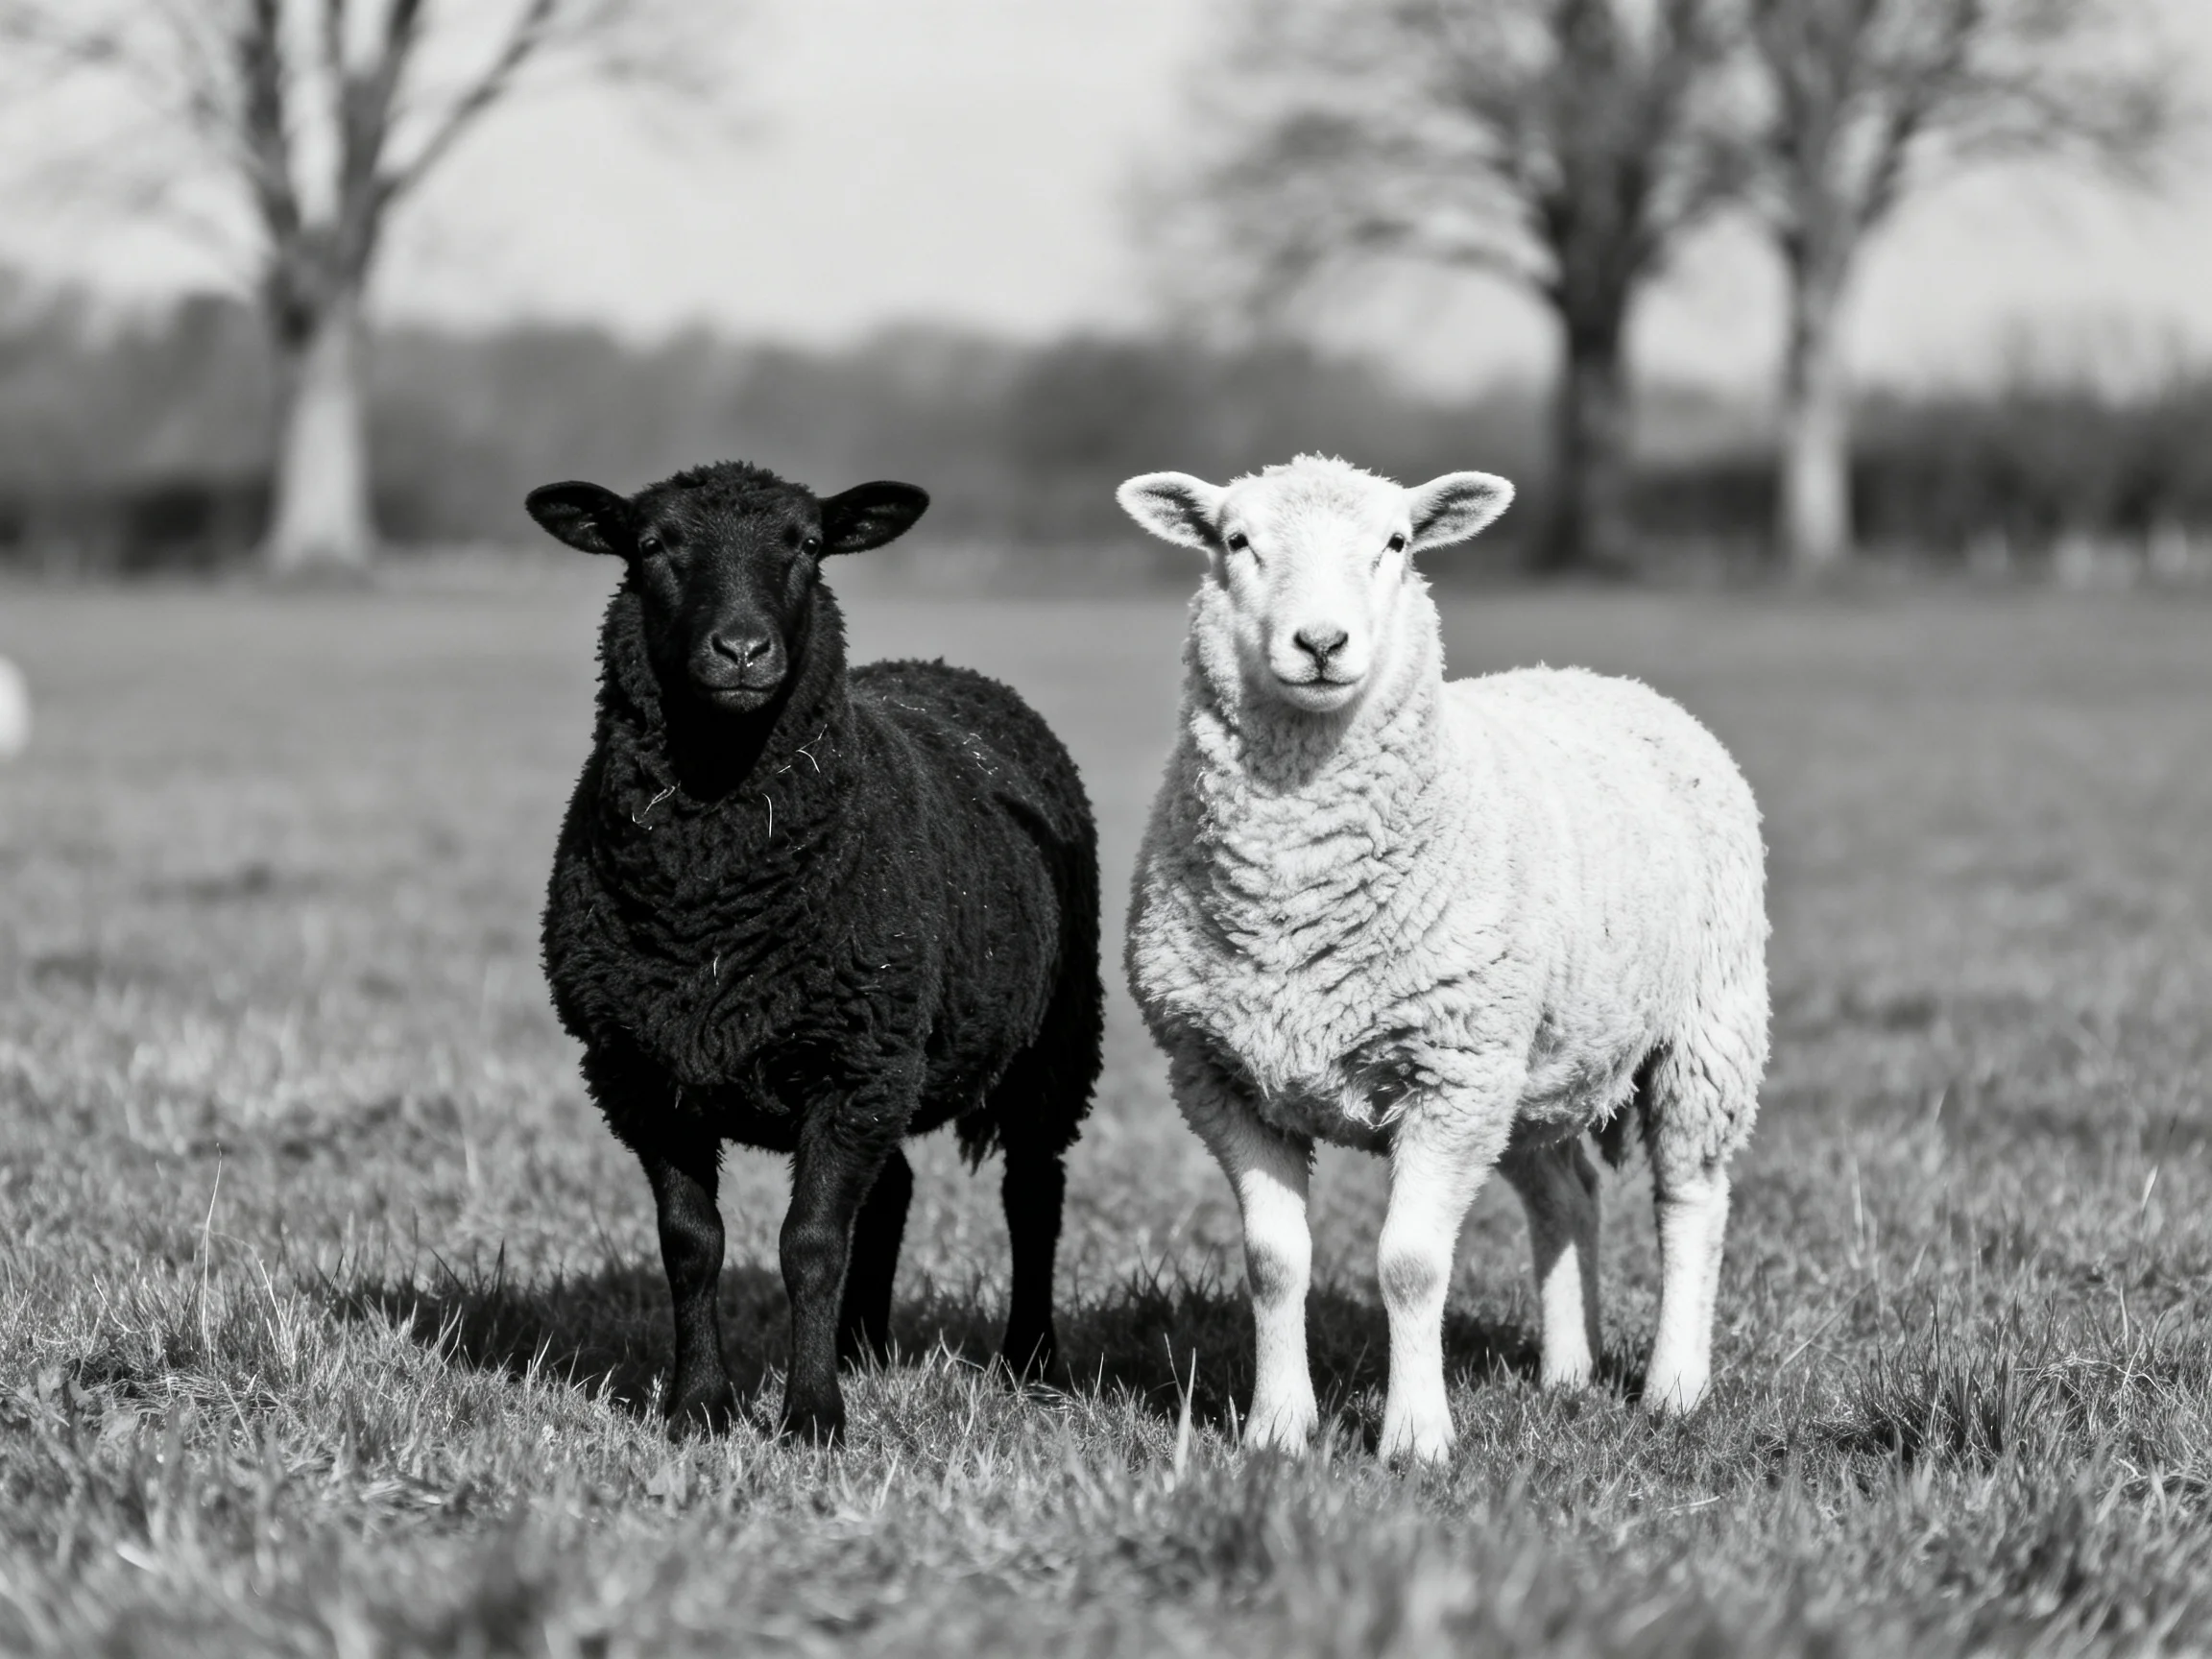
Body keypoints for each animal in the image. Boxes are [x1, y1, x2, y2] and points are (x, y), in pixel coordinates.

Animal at [527, 460, 1102, 1443]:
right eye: (652, 545)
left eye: (805, 544)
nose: (742, 651)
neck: (709, 902)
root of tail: (944, 666)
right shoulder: (643, 1073)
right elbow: (691, 1244)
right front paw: (699, 1406)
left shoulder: (853, 1064)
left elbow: (811, 1244)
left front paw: (812, 1417)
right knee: (895, 1188)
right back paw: (862, 1344)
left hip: (1049, 1041)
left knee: (1033, 1194)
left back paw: (1030, 1361)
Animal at [1117, 454, 1768, 1463]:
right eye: (1236, 541)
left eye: (1396, 543)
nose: (1321, 641)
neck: (1294, 890)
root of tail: (1598, 676)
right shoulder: (1222, 1075)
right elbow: (1274, 1263)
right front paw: (1277, 1428)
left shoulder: (1448, 1076)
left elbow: (1412, 1266)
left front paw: (1416, 1439)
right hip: (1529, 1069)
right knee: (1567, 1195)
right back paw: (1568, 1372)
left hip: (1705, 1029)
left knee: (1690, 1200)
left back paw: (1673, 1388)